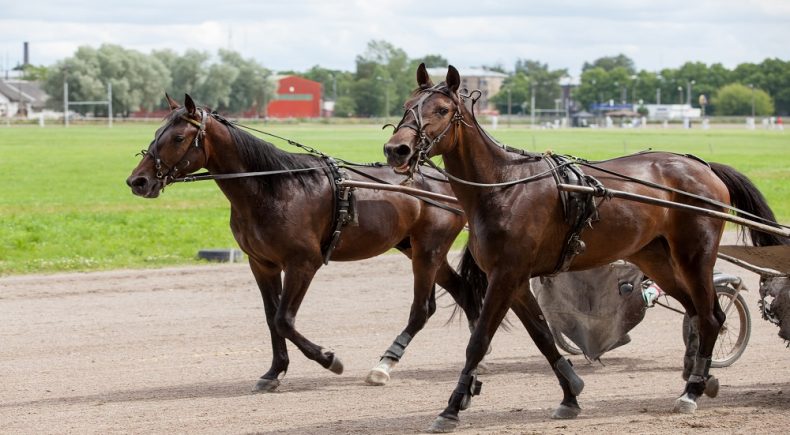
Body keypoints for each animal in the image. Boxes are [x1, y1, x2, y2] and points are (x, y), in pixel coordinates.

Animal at [127, 94, 486, 392]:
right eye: (156, 132)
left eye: (177, 137)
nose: (137, 181)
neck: (272, 187)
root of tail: (445, 180)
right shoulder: (262, 264)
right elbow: (271, 319)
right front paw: (273, 373)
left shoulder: (303, 263)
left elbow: (284, 320)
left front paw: (330, 359)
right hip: (414, 247)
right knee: (464, 292)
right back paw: (476, 357)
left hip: (428, 248)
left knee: (423, 308)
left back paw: (384, 366)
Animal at [382, 64, 784, 432]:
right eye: (407, 105)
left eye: (441, 110)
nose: (396, 149)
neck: (504, 187)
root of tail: (703, 167)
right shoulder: (517, 280)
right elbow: (544, 337)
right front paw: (570, 394)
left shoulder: (505, 275)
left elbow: (478, 341)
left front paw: (451, 406)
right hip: (655, 256)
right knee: (697, 313)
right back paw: (700, 377)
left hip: (694, 254)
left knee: (712, 316)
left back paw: (692, 391)